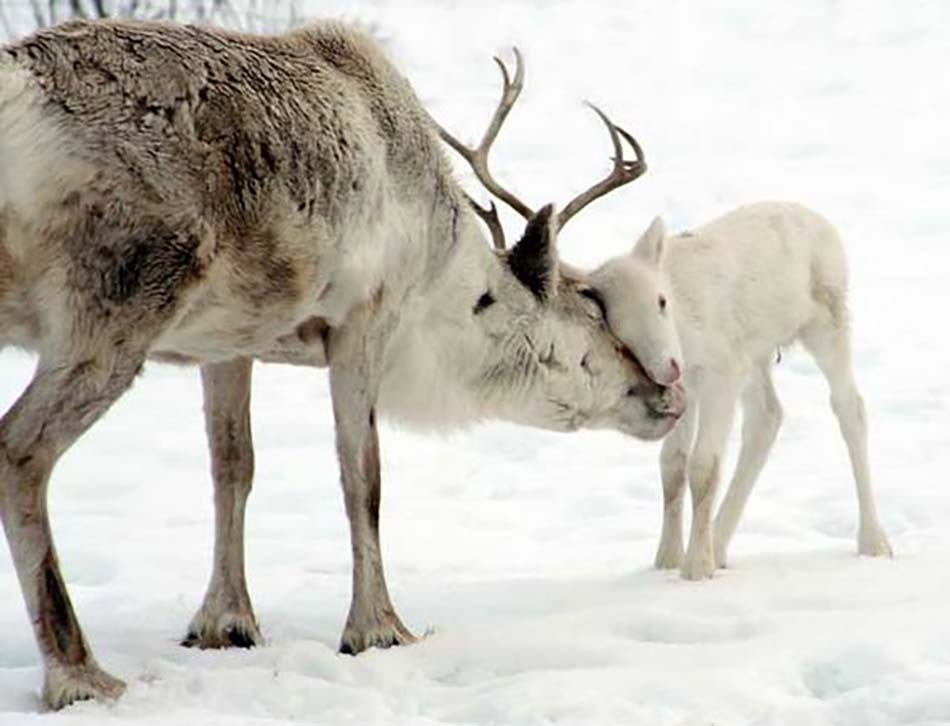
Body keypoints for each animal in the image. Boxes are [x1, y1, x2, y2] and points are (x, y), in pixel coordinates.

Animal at [592, 203, 896, 580]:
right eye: (616, 327)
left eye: (661, 301)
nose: (670, 365)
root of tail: (823, 224)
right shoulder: (688, 387)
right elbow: (672, 465)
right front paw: (667, 560)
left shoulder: (721, 373)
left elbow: (703, 466)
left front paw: (695, 568)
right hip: (756, 356)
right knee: (767, 417)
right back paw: (719, 545)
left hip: (827, 322)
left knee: (849, 408)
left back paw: (873, 541)